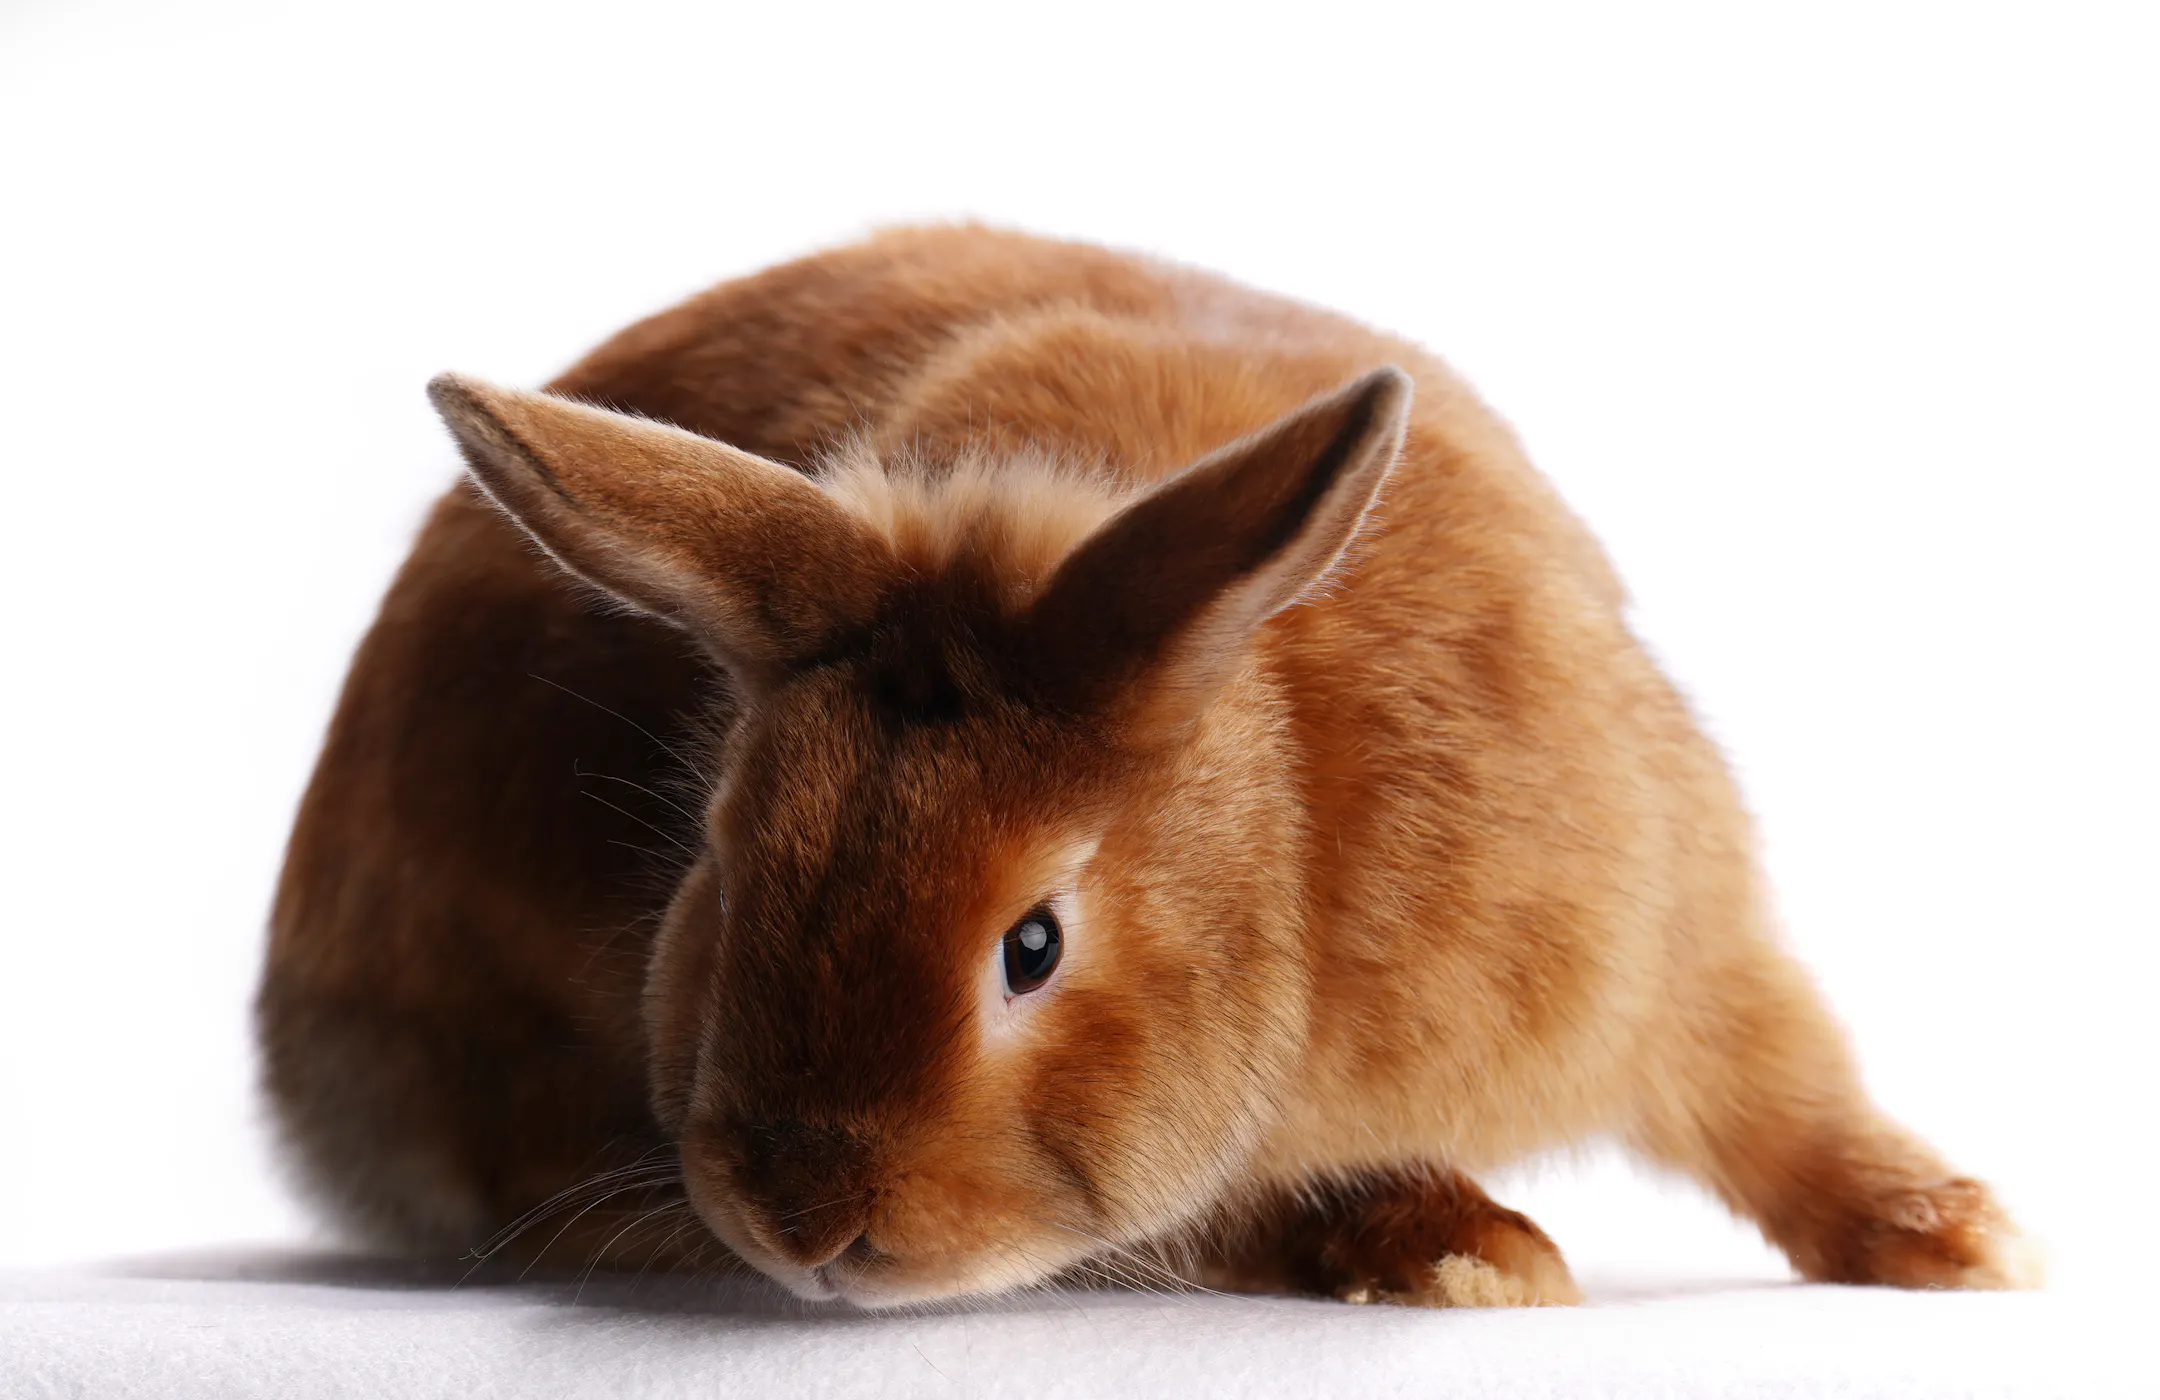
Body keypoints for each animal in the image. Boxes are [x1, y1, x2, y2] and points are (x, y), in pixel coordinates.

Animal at [257, 224, 2036, 1308]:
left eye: (1034, 946)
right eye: (723, 872)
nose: (804, 1228)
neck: (1297, 826)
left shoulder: (1671, 937)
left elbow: (1788, 1099)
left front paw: (1963, 1241)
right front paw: (1465, 1249)